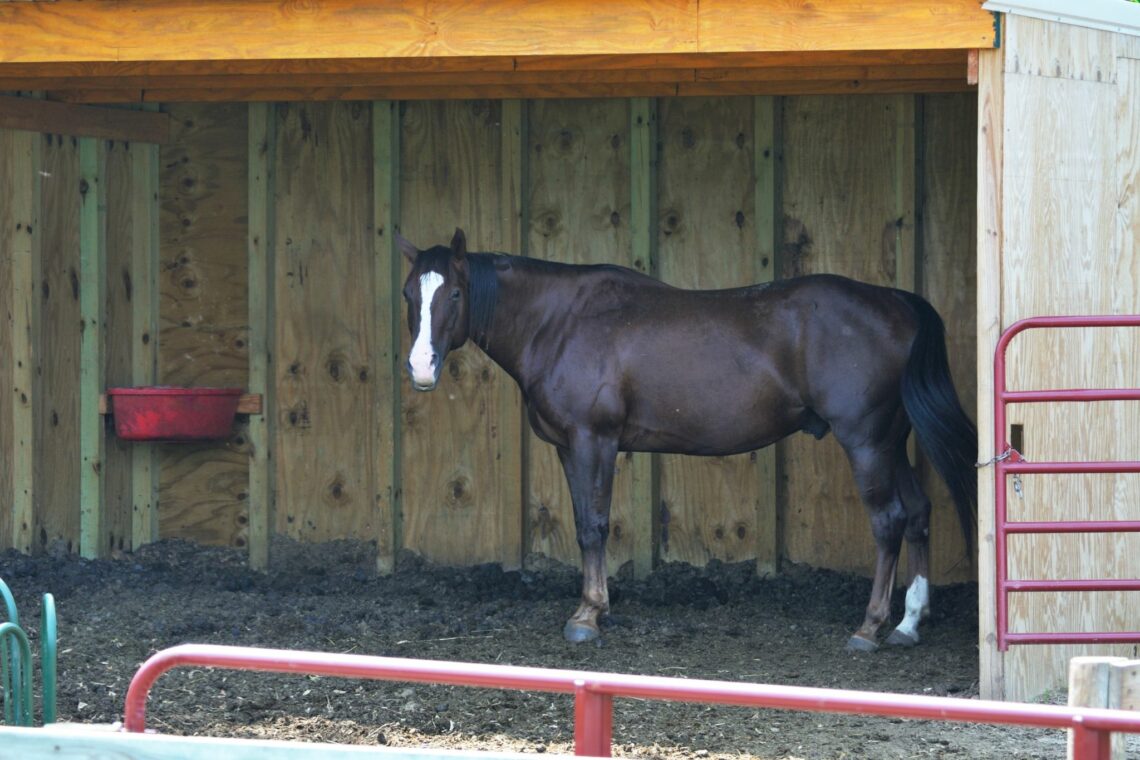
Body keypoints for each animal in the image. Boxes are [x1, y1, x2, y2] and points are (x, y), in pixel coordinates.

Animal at [396, 229, 975, 651]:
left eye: (454, 292)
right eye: (408, 294)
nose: (421, 369)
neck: (560, 321)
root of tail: (896, 301)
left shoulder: (593, 440)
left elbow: (594, 526)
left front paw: (588, 615)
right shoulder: (567, 446)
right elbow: (584, 522)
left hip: (866, 442)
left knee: (889, 521)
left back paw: (870, 626)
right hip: (890, 442)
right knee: (918, 512)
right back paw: (908, 623)